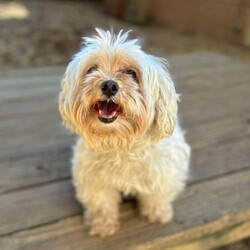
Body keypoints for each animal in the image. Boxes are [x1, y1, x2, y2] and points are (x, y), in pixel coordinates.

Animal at [58, 28, 190, 237]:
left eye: (131, 73)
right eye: (92, 69)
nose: (109, 85)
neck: (120, 142)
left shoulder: (164, 172)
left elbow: (157, 195)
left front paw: (158, 213)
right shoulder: (95, 180)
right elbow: (101, 202)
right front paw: (103, 224)